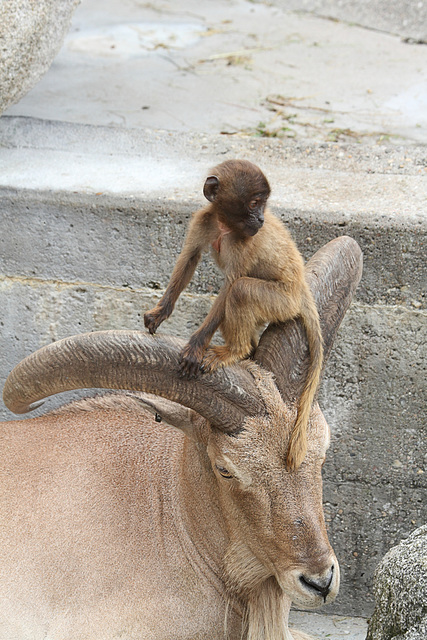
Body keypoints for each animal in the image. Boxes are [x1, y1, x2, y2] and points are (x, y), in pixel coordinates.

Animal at [145, 160, 322, 470]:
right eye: (254, 203)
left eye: (263, 204)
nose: (261, 219)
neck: (224, 226)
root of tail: (301, 289)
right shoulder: (203, 220)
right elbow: (189, 259)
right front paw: (160, 313)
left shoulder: (243, 242)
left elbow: (230, 286)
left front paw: (196, 347)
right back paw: (246, 349)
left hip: (282, 302)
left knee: (240, 290)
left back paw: (236, 351)